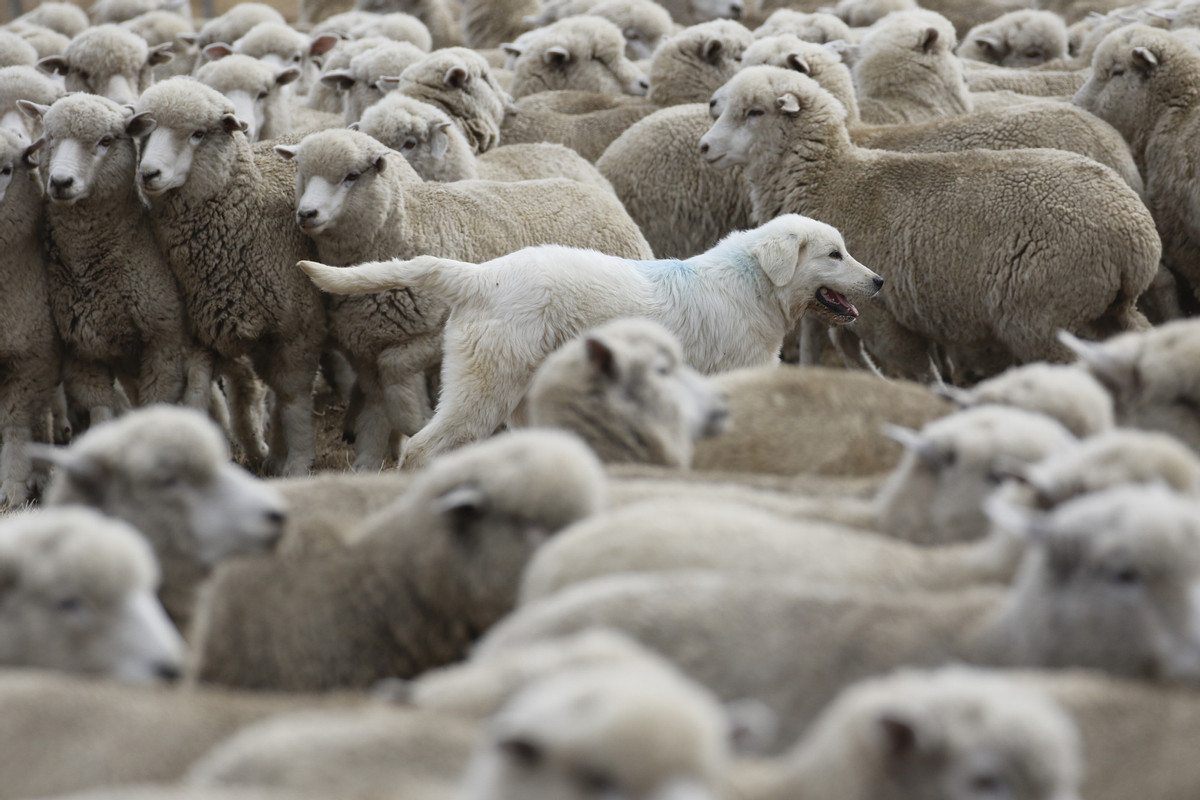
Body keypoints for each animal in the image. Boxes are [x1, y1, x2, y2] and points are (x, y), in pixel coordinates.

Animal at [21, 94, 199, 428]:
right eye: (49, 138)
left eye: (106, 140)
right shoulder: (82, 351)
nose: (60, 182)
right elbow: (101, 410)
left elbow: (158, 404)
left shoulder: (165, 340)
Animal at [133, 78, 327, 476]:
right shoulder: (199, 334)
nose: (148, 175)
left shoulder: (299, 329)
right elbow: (196, 396)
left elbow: (293, 401)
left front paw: (300, 464)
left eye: (198, 134)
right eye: (145, 133)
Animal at [278, 128, 651, 469]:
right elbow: (375, 405)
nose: (306, 214)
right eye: (300, 172)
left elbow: (394, 374)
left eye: (351, 176)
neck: (414, 221)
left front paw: (410, 423)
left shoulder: (430, 338)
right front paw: (369, 462)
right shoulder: (366, 346)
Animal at [701, 67, 1159, 381]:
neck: (834, 179)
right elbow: (845, 350)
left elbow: (919, 373)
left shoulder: (885, 318)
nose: (704, 147)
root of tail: (1136, 236)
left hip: (1044, 315)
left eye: (754, 111)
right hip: (1106, 309)